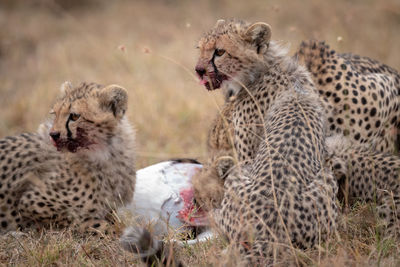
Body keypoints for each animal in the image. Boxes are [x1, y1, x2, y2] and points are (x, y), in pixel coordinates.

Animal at [0, 82, 136, 234]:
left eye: (75, 116)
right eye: (55, 114)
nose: (53, 134)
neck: (106, 154)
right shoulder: (31, 202)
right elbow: (82, 220)